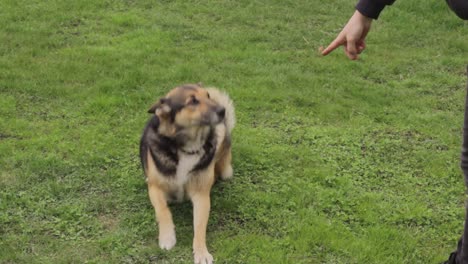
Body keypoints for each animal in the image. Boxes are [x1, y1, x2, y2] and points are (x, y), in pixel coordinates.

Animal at [138, 83, 234, 264]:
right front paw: (167, 237)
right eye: (193, 101)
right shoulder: (155, 188)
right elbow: (163, 210)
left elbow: (200, 226)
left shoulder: (201, 195)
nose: (222, 110)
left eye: (208, 95)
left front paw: (201, 252)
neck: (188, 147)